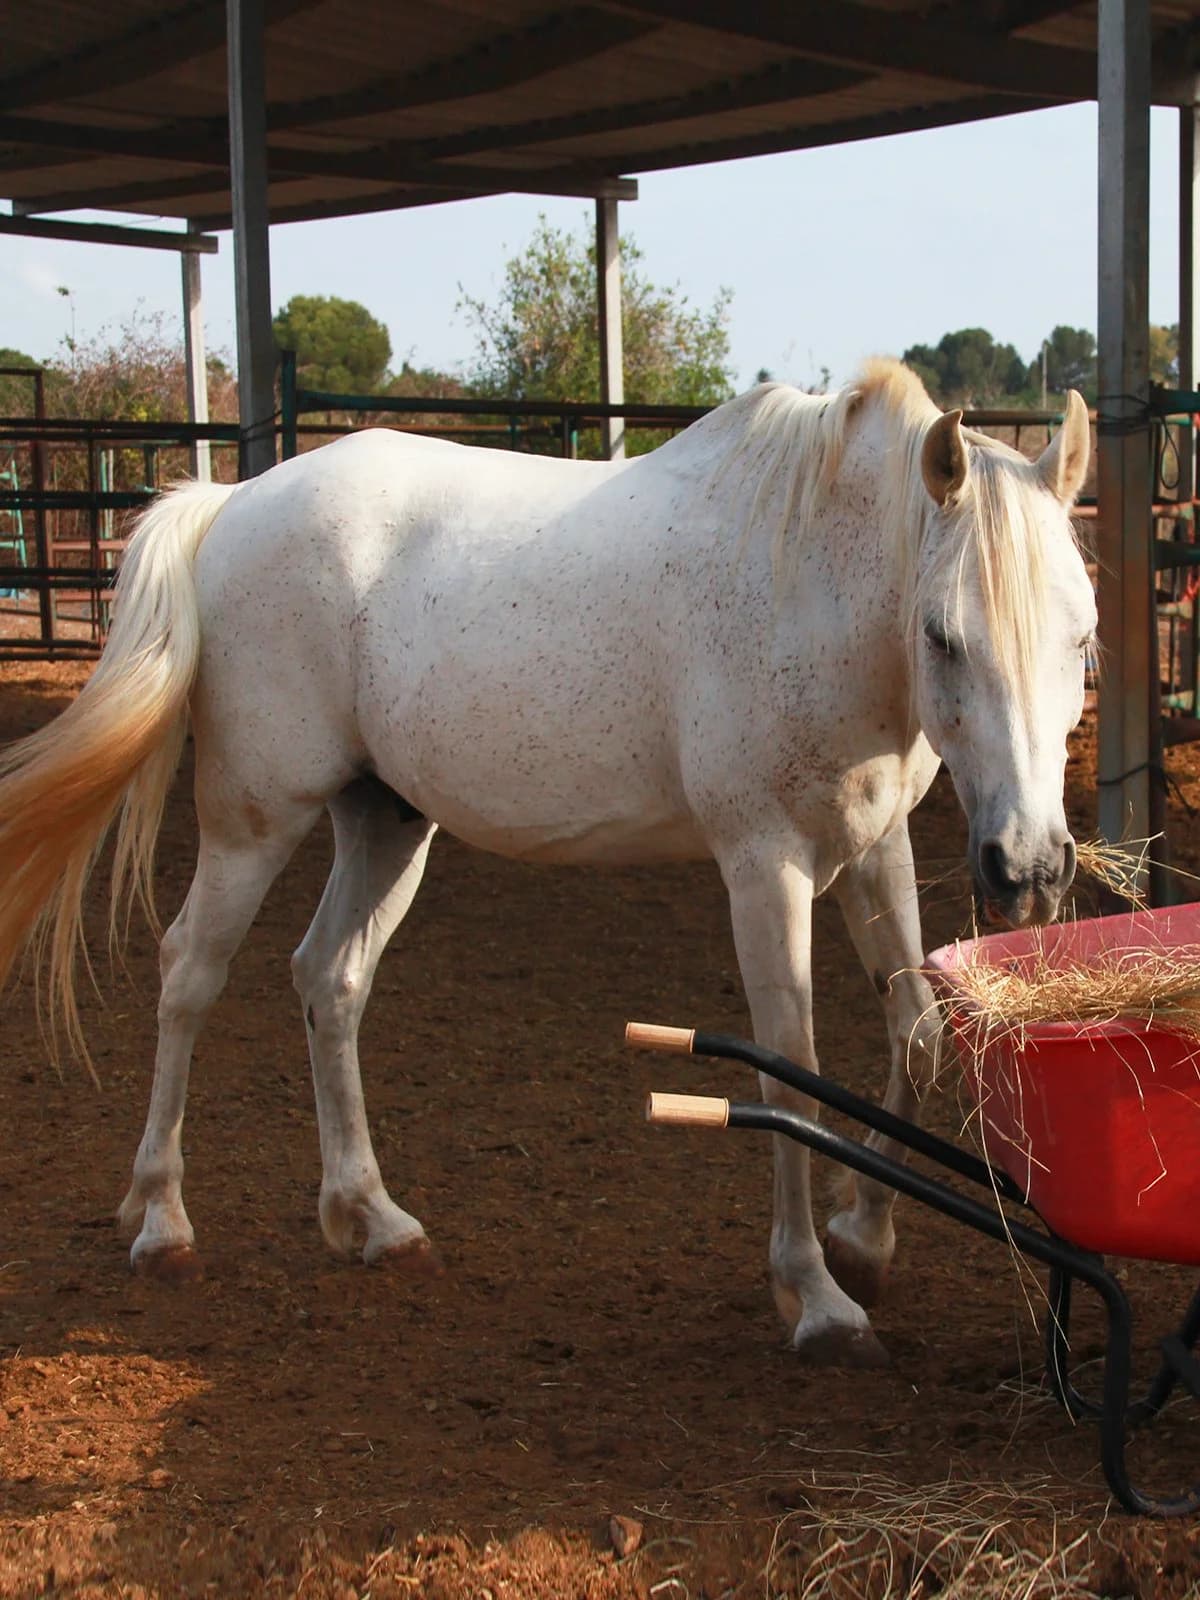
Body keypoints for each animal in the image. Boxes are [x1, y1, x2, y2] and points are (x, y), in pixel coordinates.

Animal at [0, 359, 1094, 1367]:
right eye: (944, 635)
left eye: (1082, 636)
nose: (1030, 870)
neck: (809, 580)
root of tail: (230, 504)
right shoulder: (764, 865)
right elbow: (790, 1075)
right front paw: (817, 1296)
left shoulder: (874, 848)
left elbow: (917, 1035)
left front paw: (864, 1240)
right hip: (253, 821)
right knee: (190, 973)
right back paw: (161, 1221)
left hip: (386, 823)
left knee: (330, 979)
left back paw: (371, 1217)